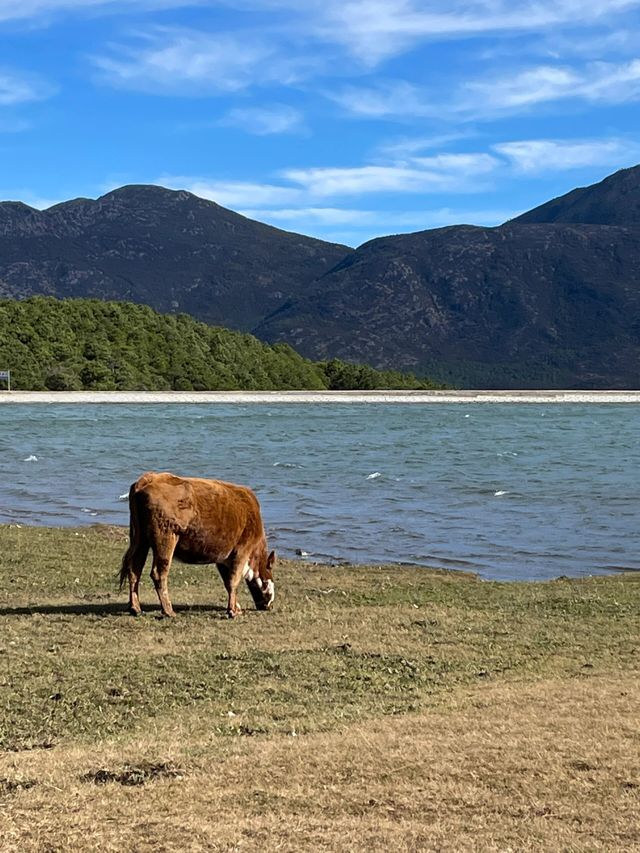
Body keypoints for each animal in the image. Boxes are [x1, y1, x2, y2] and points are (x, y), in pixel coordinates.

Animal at [120, 472, 276, 620]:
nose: (269, 606)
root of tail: (148, 479)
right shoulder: (242, 551)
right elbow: (234, 580)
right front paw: (233, 611)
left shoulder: (223, 558)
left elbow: (228, 582)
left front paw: (235, 606)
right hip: (166, 537)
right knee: (159, 573)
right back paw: (168, 611)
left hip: (140, 539)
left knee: (134, 569)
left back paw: (135, 608)